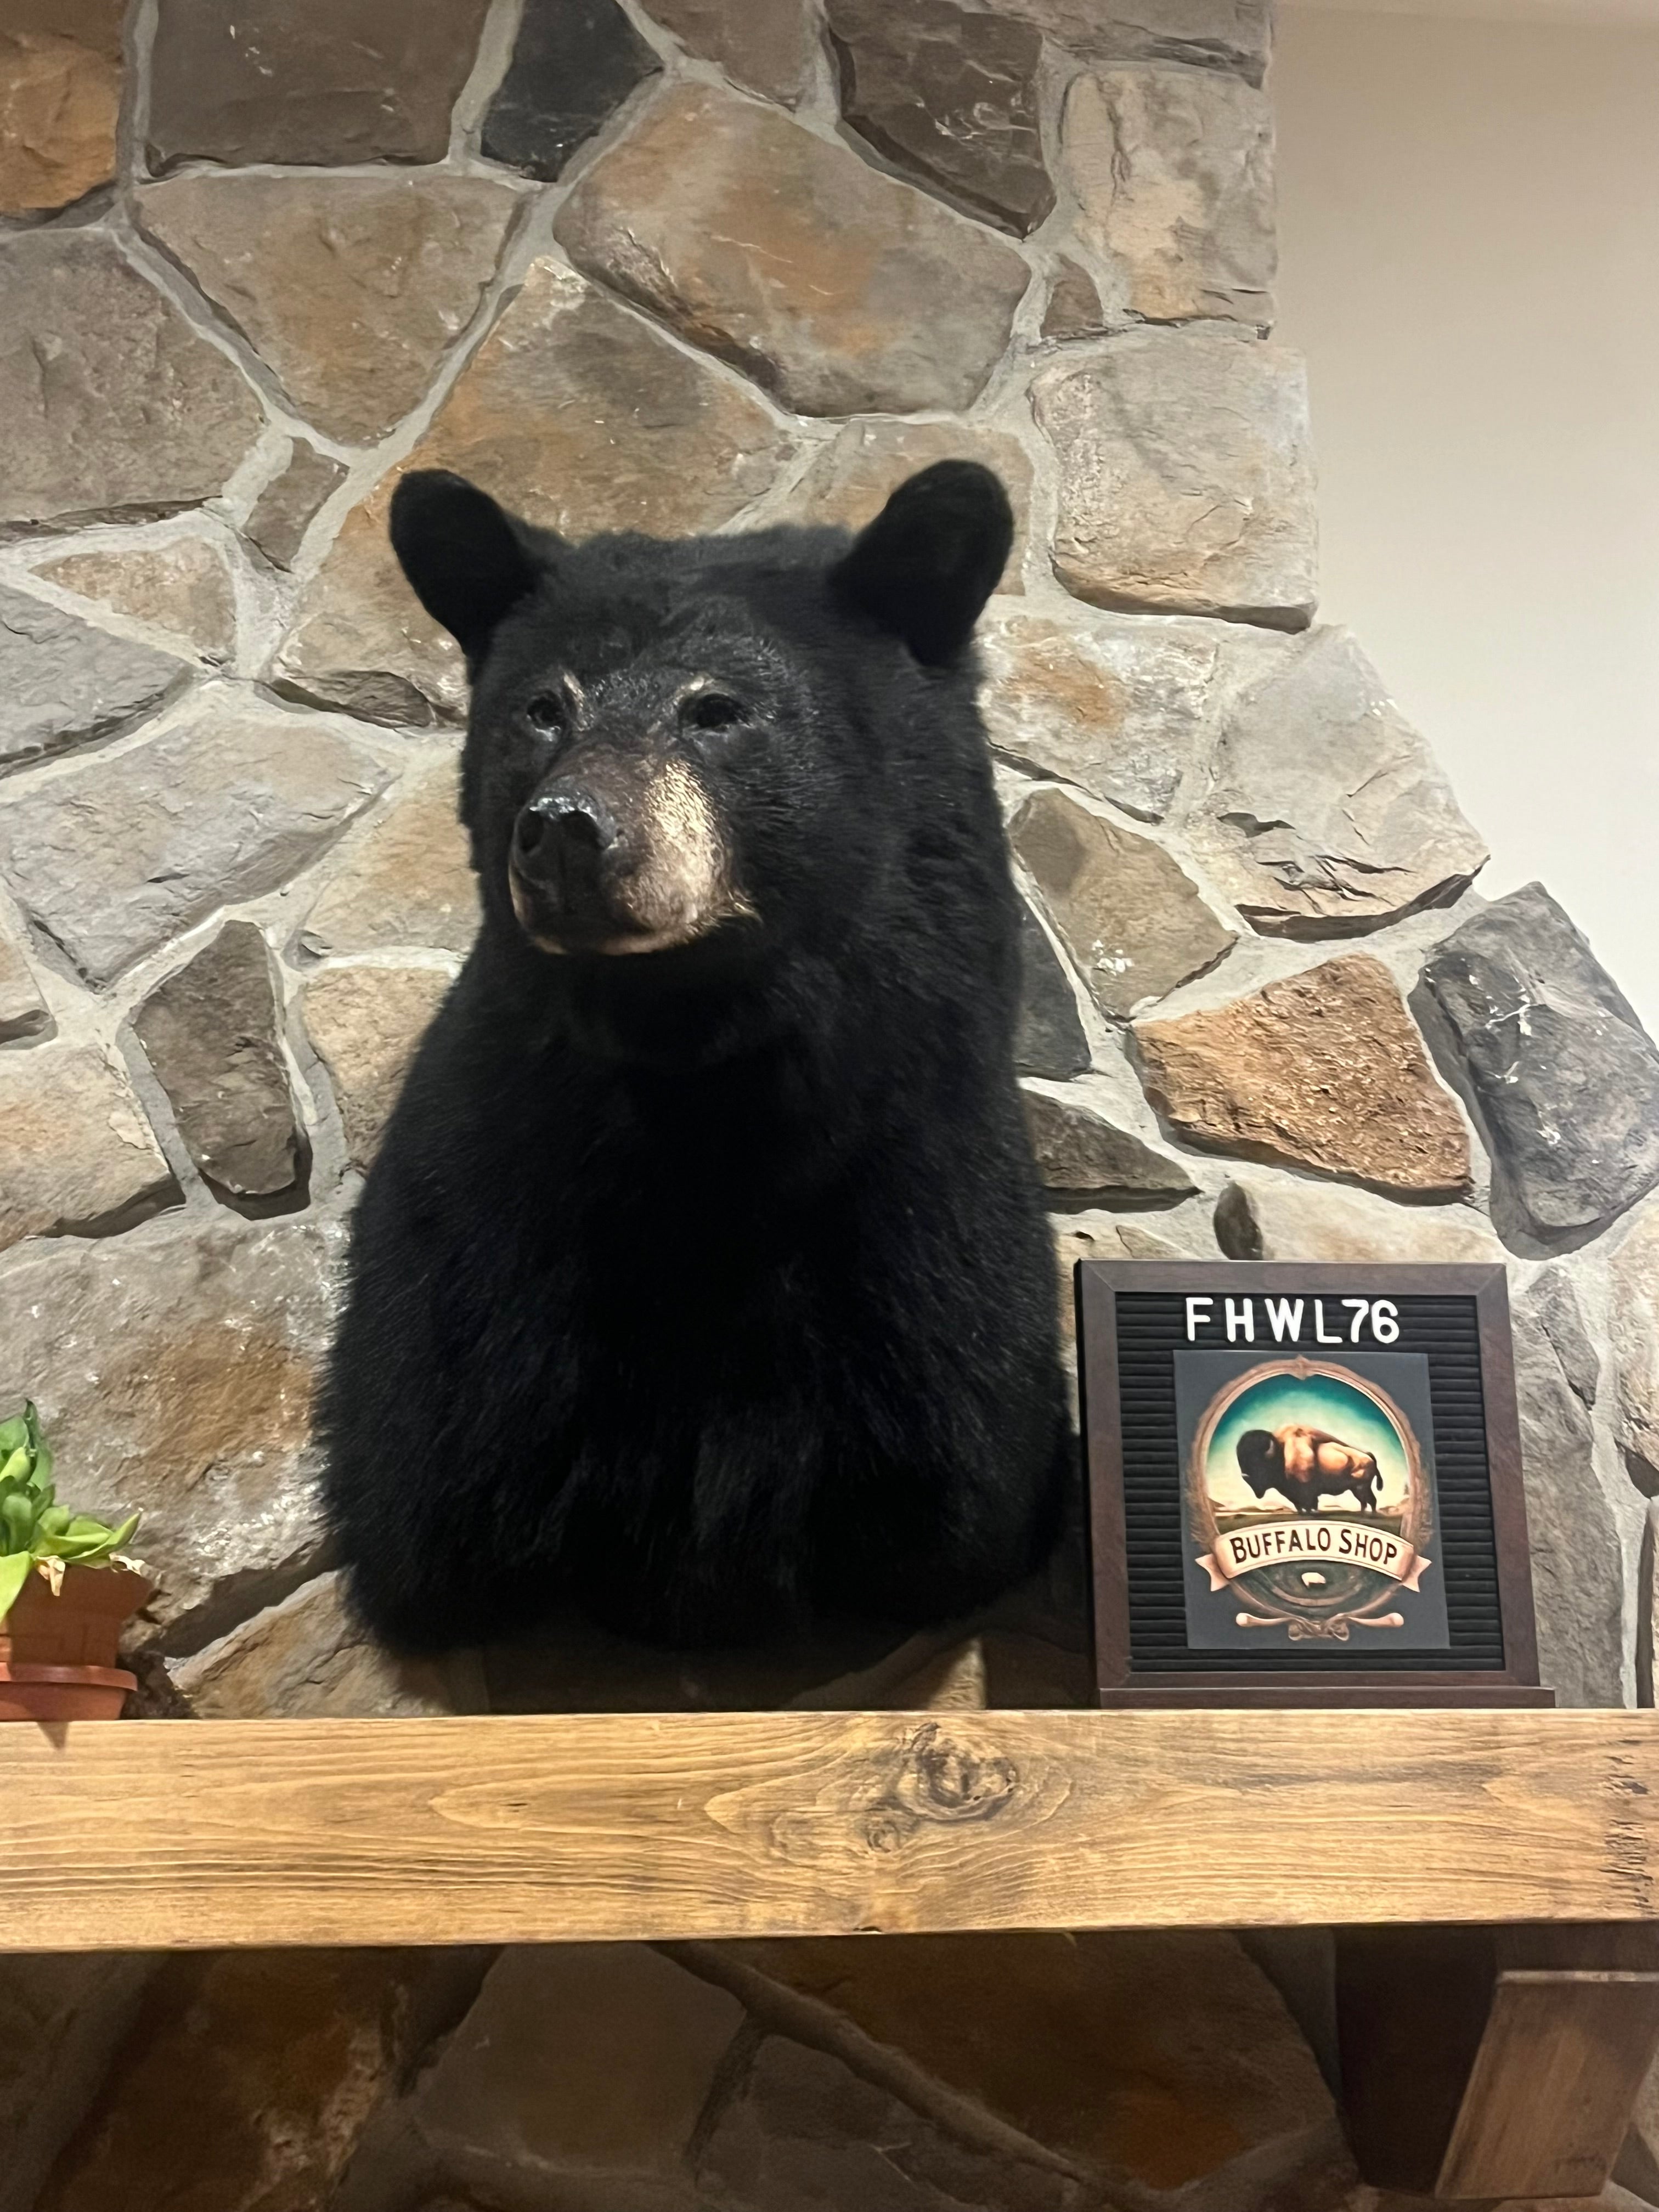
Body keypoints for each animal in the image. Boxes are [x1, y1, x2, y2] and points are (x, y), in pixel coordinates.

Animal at [319, 459, 1071, 1656]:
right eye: (544, 707)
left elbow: (946, 1459)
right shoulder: (474, 1229)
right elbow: (434, 1446)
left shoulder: (925, 1203)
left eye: (716, 710)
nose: (567, 830)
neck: (696, 1066)